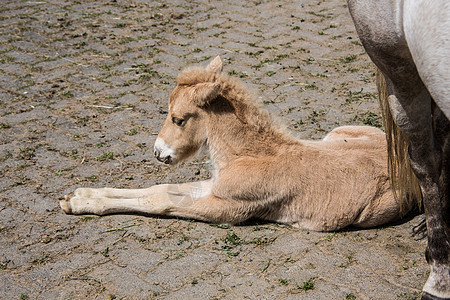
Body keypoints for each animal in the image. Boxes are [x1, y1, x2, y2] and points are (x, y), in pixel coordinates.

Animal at [61, 56, 414, 232]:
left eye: (178, 119)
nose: (159, 153)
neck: (246, 155)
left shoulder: (228, 208)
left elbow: (159, 201)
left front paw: (80, 201)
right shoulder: (215, 186)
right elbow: (159, 189)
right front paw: (79, 198)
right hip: (335, 134)